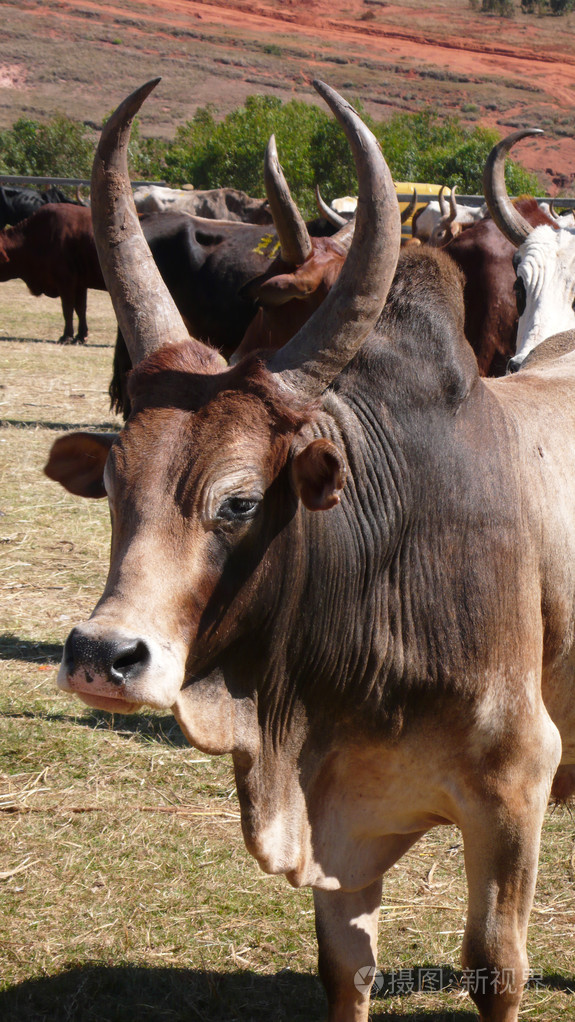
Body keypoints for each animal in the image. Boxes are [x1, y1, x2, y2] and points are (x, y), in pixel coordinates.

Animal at [44, 79, 575, 1021]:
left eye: (241, 501)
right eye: (110, 482)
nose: (103, 657)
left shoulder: (516, 785)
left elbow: (495, 967)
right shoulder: (338, 827)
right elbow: (345, 967)